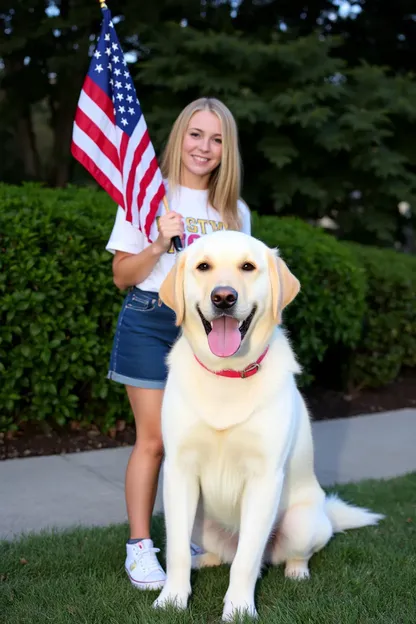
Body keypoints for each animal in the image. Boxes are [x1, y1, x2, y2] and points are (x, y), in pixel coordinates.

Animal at [153, 230, 384, 620]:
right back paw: (208, 560)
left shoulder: (264, 478)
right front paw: (171, 600)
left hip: (302, 522)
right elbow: (177, 551)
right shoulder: (178, 472)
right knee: (219, 553)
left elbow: (246, 560)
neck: (227, 374)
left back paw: (296, 572)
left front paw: (239, 610)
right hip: (202, 523)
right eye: (203, 267)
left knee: (279, 555)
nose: (224, 297)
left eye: (248, 267)